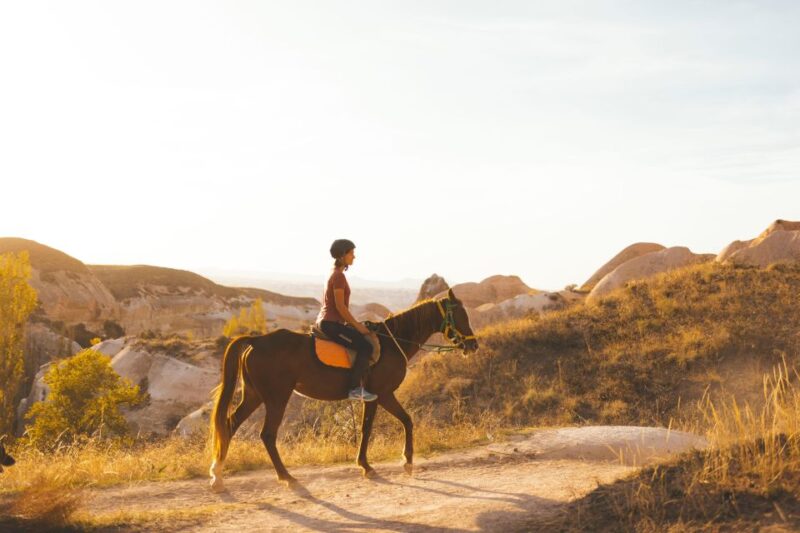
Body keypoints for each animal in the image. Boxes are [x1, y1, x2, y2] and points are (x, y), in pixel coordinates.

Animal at [209, 288, 478, 490]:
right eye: (460, 315)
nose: (473, 345)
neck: (393, 343)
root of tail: (256, 341)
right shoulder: (382, 395)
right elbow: (394, 423)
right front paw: (397, 462)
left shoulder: (377, 397)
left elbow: (378, 426)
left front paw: (371, 464)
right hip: (277, 398)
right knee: (267, 435)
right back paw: (286, 477)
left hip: (254, 395)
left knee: (230, 425)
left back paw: (217, 475)